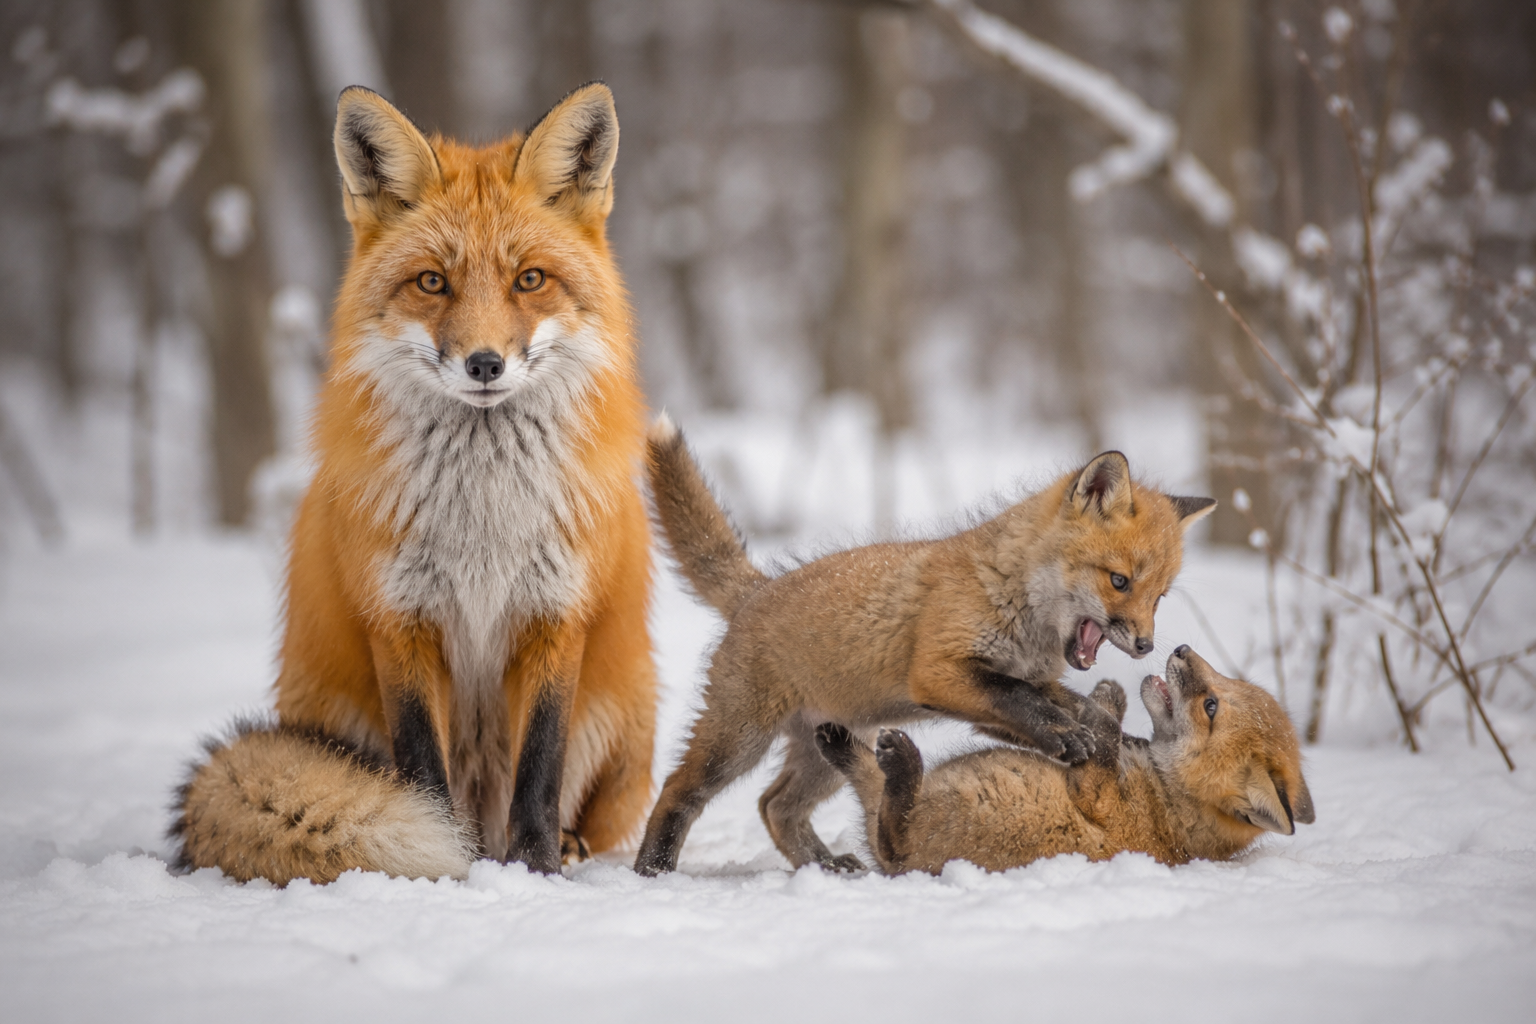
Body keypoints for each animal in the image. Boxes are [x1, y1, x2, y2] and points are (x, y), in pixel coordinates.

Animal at [171, 83, 658, 884]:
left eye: (529, 279)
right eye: (433, 281)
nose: (485, 363)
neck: (483, 520)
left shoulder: (556, 615)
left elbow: (540, 767)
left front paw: (537, 870)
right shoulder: (399, 618)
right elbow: (422, 768)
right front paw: (441, 855)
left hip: (623, 712)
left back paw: (564, 846)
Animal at [632, 418, 1216, 876]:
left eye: (1159, 597)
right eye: (1119, 582)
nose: (1145, 645)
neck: (1012, 596)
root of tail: (756, 590)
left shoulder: (1007, 688)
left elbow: (1061, 705)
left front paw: (1103, 735)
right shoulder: (941, 672)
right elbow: (1022, 701)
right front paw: (1073, 738)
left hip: (825, 746)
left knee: (775, 805)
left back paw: (824, 866)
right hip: (738, 741)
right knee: (678, 791)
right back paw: (653, 869)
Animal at [813, 645, 1315, 873]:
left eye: (1211, 706)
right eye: (1227, 685)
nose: (1181, 649)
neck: (1169, 802)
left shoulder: (1101, 801)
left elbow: (1103, 745)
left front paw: (1103, 710)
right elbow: (1104, 726)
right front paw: (1106, 697)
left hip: (920, 839)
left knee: (890, 832)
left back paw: (901, 761)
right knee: (868, 791)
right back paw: (835, 738)